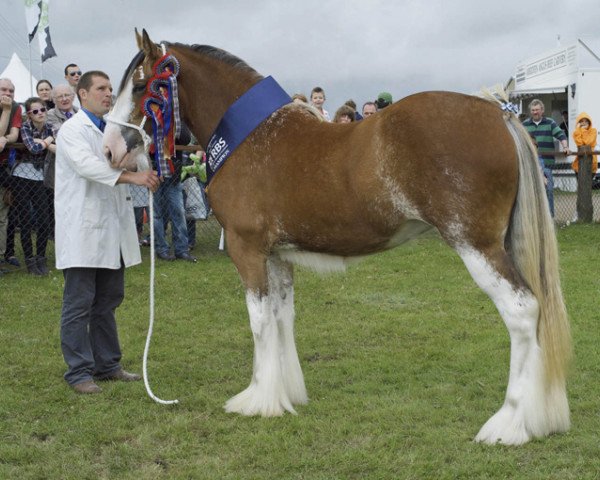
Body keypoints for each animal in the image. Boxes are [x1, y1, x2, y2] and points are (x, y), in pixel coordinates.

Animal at [103, 28, 572, 444]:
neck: (250, 138)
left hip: (476, 245)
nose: (109, 148)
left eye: (143, 85)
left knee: (522, 311)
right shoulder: (278, 256)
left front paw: (257, 400)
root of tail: (500, 113)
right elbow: (282, 317)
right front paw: (287, 394)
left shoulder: (247, 250)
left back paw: (510, 424)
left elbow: (258, 321)